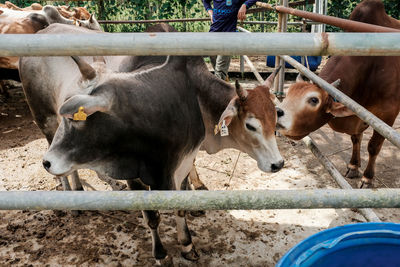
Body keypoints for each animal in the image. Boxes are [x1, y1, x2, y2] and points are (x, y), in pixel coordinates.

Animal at [276, 0, 398, 188]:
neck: (371, 65)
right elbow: (356, 138)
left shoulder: (387, 114)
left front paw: (367, 178)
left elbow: (373, 146)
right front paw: (353, 166)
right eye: (288, 93)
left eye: (314, 100)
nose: (277, 113)